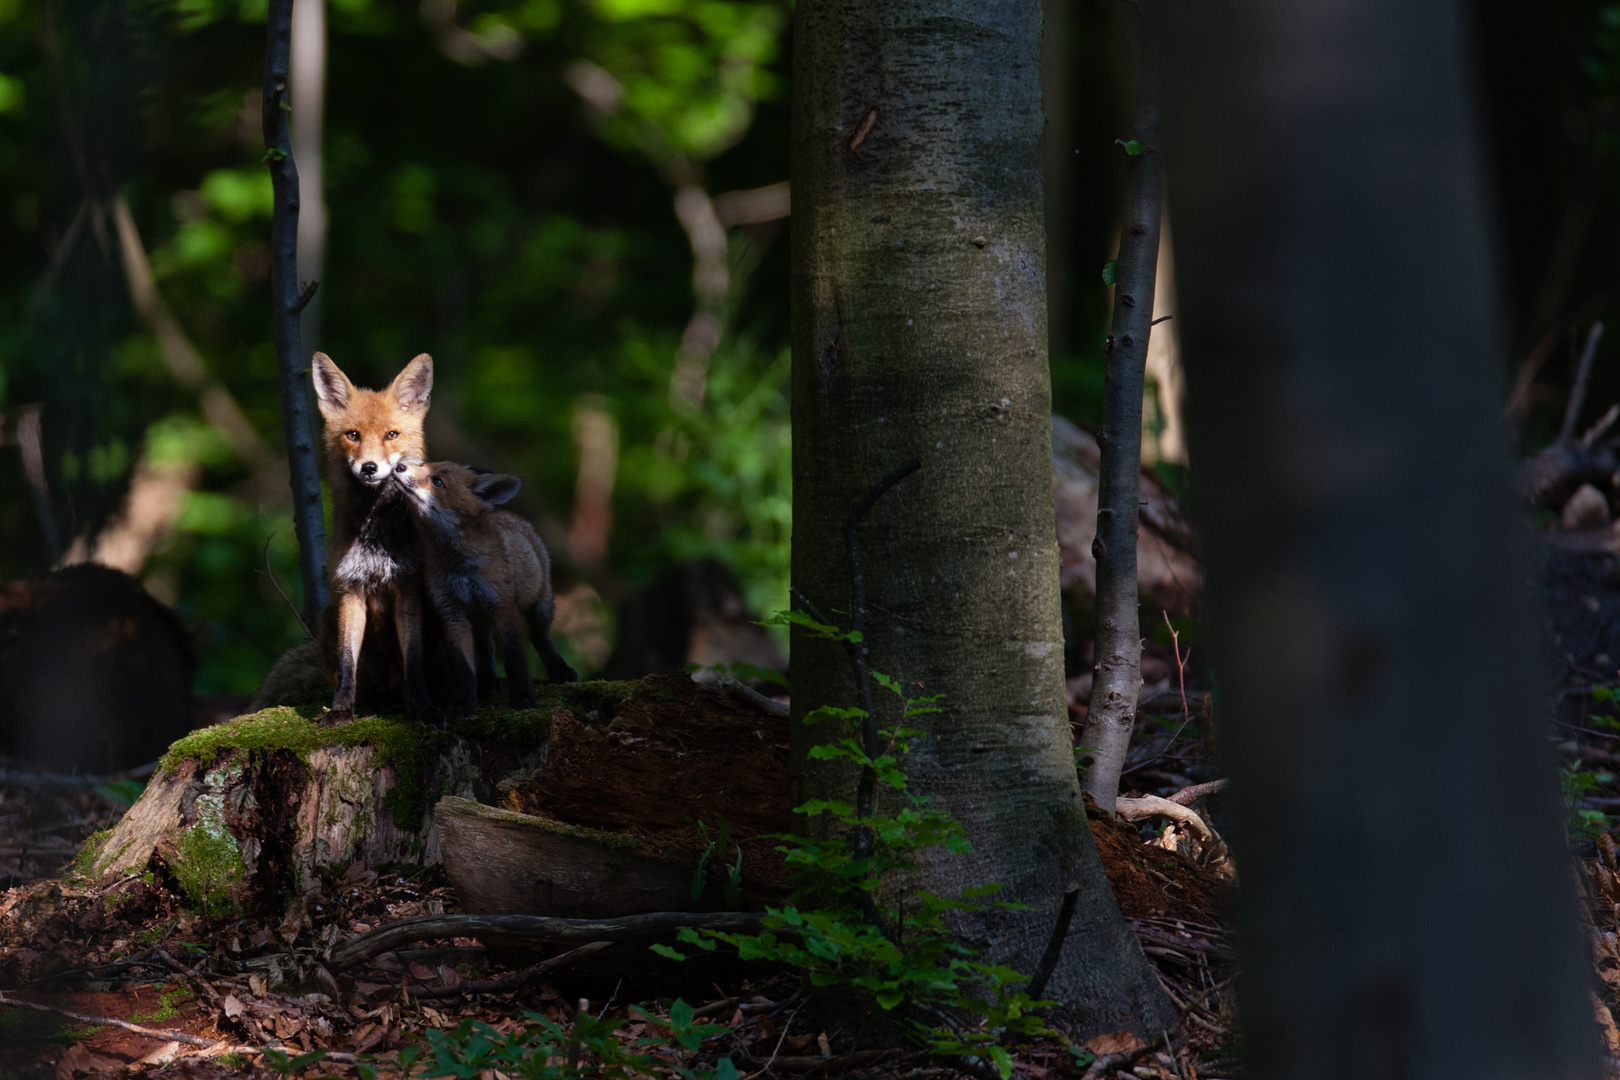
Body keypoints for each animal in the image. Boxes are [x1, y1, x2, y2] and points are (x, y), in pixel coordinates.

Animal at [309, 354, 434, 725]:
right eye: (353, 435)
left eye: (391, 435)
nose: (368, 467)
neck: (376, 533)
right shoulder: (351, 590)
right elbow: (348, 662)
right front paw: (340, 710)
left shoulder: (408, 586)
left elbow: (414, 658)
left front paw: (423, 708)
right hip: (328, 617)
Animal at [392, 459, 576, 718]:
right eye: (424, 465)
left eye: (438, 481)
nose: (399, 466)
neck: (458, 566)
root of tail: (511, 515)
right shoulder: (451, 612)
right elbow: (463, 667)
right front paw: (463, 703)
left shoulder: (504, 607)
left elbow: (515, 660)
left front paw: (522, 697)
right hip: (480, 619)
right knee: (486, 647)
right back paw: (488, 683)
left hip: (541, 606)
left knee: (540, 638)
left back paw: (560, 670)